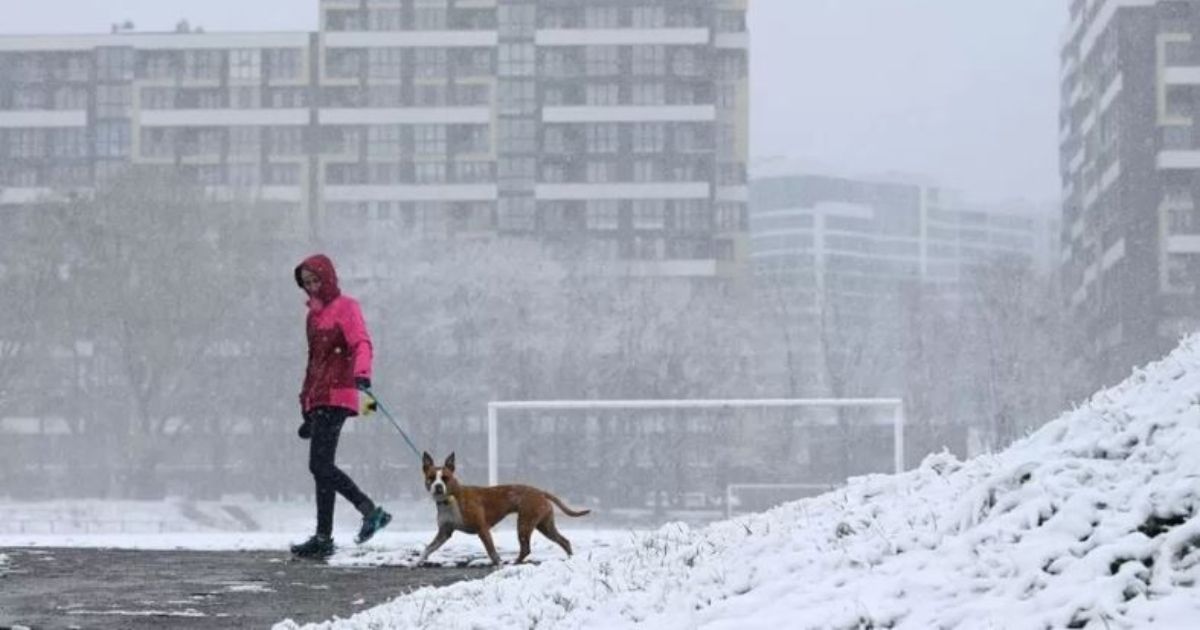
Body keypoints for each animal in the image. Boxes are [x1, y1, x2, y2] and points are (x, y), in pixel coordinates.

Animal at [420, 451, 592, 564]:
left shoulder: (483, 529)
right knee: (563, 541)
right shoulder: (444, 533)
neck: (451, 498)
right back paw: (570, 559)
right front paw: (418, 562)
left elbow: (492, 552)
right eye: (431, 478)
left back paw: (514, 562)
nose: (438, 487)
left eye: (445, 478)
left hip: (524, 524)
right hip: (544, 525)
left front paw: (499, 565)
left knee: (526, 548)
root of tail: (540, 492)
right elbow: (428, 548)